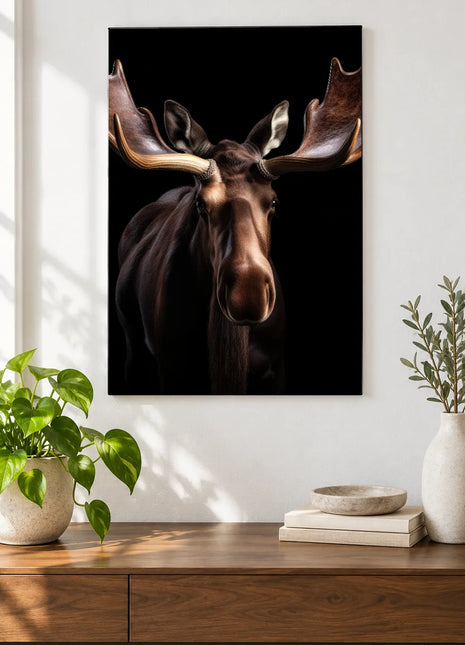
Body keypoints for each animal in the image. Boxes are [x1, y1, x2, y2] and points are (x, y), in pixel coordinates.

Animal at [109, 57, 361, 394]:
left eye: (274, 202)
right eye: (200, 203)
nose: (248, 293)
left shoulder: (275, 368)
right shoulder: (171, 367)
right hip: (132, 342)